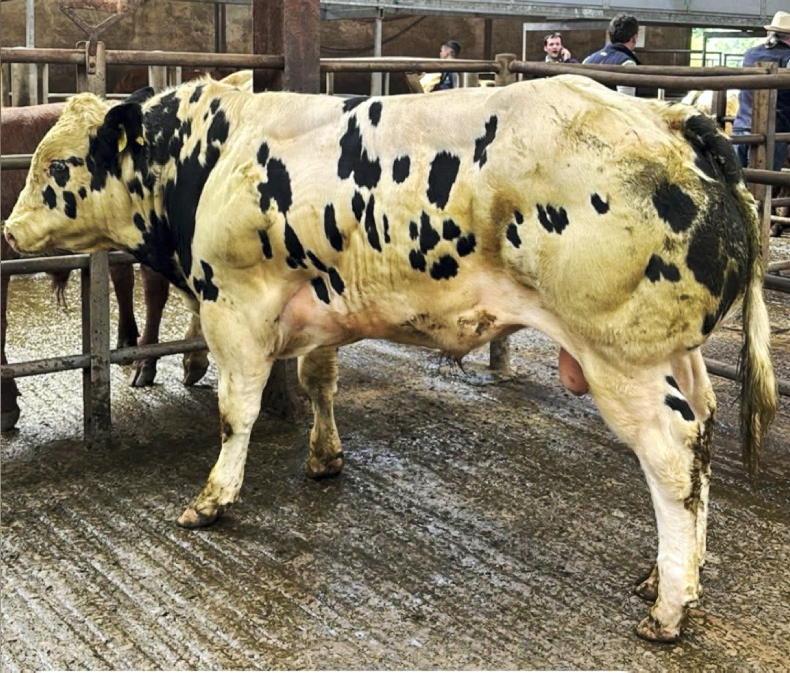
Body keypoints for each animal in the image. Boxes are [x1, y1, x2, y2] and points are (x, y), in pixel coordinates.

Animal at [3, 73, 777, 642]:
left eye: (59, 165)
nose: (9, 229)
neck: (216, 155)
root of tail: (671, 119)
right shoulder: (319, 302)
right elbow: (319, 380)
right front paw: (324, 457)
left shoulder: (236, 307)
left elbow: (236, 411)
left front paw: (213, 497)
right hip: (678, 356)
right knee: (704, 434)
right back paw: (671, 574)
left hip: (622, 358)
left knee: (673, 457)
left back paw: (669, 607)